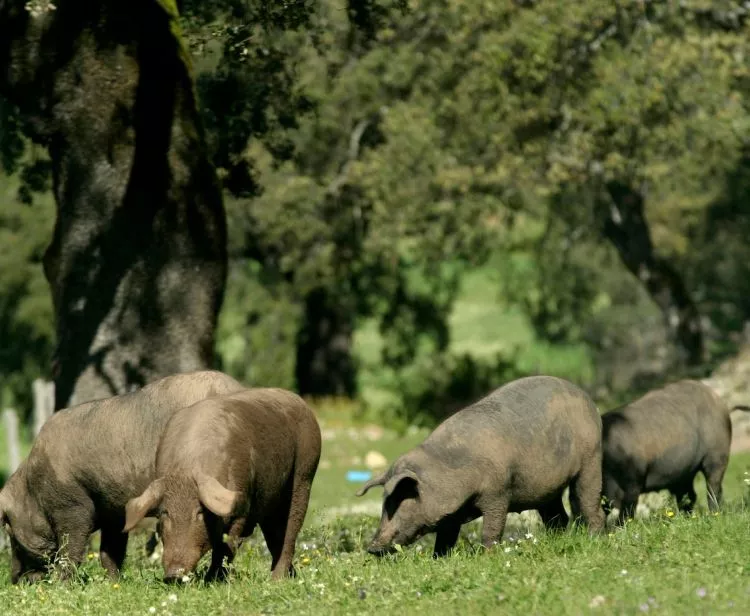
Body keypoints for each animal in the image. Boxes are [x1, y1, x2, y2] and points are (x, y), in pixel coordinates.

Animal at [0, 370, 244, 584]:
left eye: (9, 530)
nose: (14, 580)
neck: (33, 488)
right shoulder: (114, 511)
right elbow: (109, 551)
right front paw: (114, 583)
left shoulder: (71, 506)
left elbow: (71, 548)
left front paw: (61, 585)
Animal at [124, 390, 324, 584]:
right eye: (165, 513)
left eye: (199, 512)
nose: (174, 574)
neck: (185, 471)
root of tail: (299, 400)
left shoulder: (242, 506)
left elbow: (225, 546)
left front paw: (213, 580)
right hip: (271, 501)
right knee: (274, 537)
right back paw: (290, 576)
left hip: (305, 472)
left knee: (290, 532)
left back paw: (277, 580)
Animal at [356, 372, 604, 556]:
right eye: (385, 502)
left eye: (400, 500)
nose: (372, 548)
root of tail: (589, 400)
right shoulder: (451, 513)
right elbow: (445, 539)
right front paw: (439, 559)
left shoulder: (499, 493)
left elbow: (491, 530)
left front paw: (488, 556)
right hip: (547, 489)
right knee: (558, 517)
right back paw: (554, 541)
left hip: (591, 458)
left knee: (589, 502)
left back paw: (594, 537)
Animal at [604, 378, 750, 524]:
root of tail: (722, 404)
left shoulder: (633, 481)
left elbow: (627, 511)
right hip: (684, 473)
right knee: (689, 495)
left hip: (717, 455)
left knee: (713, 489)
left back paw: (714, 514)